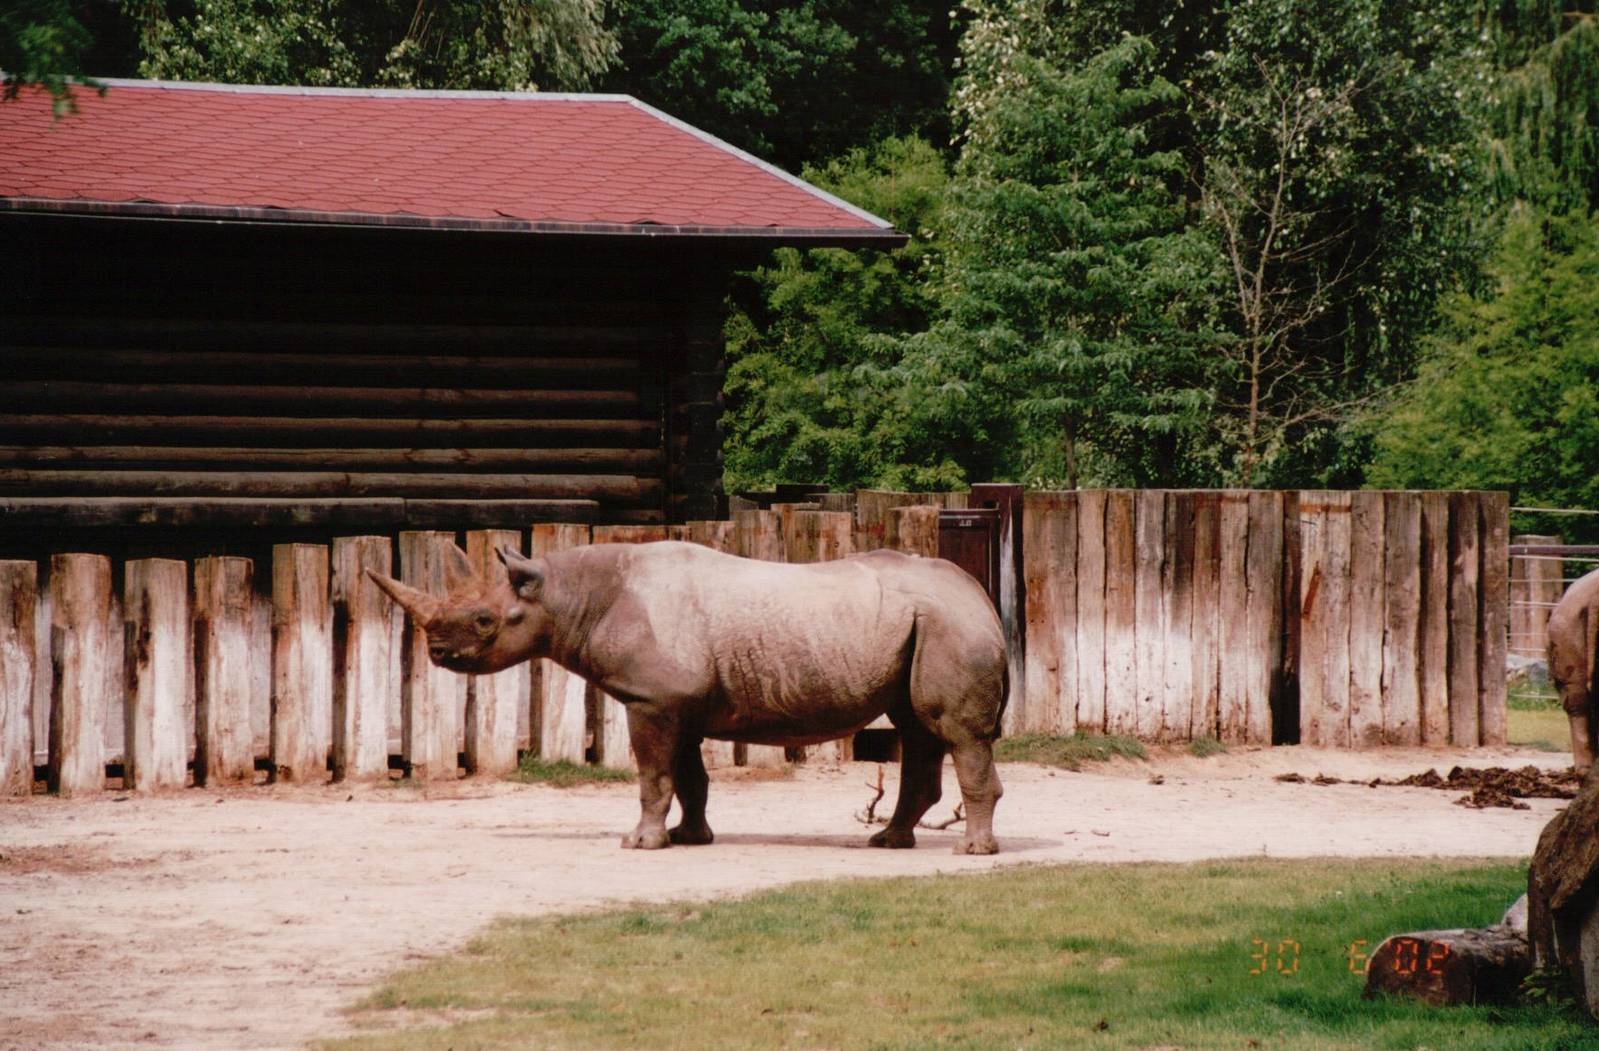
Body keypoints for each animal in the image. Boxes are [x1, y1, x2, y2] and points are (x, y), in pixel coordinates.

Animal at [368, 540, 1008, 854]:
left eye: (483, 621)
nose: (437, 652)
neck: (569, 595)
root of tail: (981, 595)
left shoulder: (650, 699)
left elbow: (653, 775)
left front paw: (640, 843)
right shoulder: (677, 703)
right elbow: (690, 777)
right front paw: (689, 838)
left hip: (950, 625)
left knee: (955, 731)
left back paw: (971, 852)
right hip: (925, 623)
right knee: (916, 727)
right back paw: (888, 842)